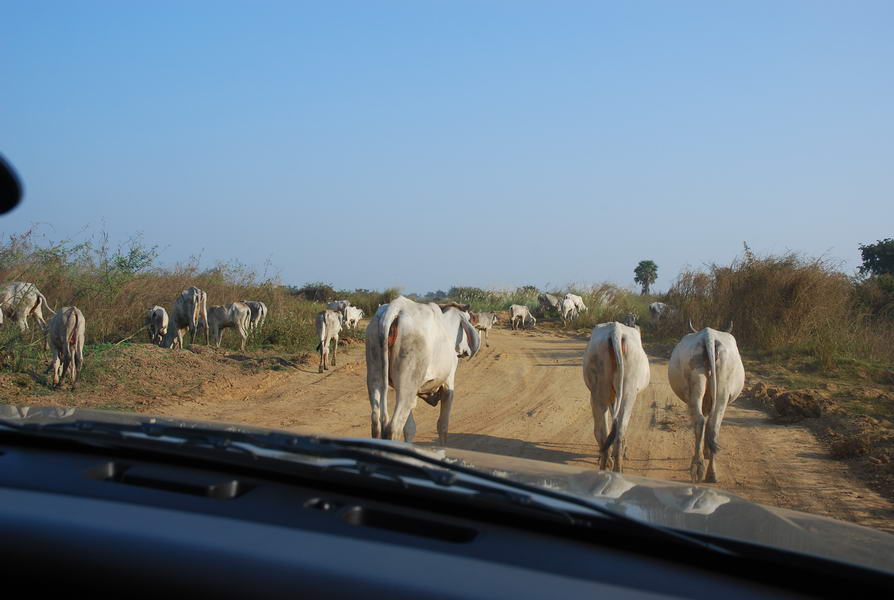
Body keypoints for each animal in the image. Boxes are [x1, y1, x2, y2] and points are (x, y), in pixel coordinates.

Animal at [366, 296, 484, 446]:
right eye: (469, 319)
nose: (466, 351)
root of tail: (396, 306)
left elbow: (410, 429)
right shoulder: (448, 385)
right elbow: (442, 426)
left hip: (376, 375)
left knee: (376, 422)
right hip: (408, 385)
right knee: (394, 427)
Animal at [580, 324, 652, 474]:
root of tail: (616, 330)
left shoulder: (611, 398)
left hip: (599, 392)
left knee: (602, 432)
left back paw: (605, 464)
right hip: (629, 392)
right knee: (619, 431)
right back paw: (616, 467)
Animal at [668, 324, 744, 482]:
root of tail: (709, 336)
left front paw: (707, 451)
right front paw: (707, 451)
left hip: (700, 384)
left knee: (705, 423)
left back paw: (703, 468)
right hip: (720, 390)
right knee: (709, 424)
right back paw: (705, 470)